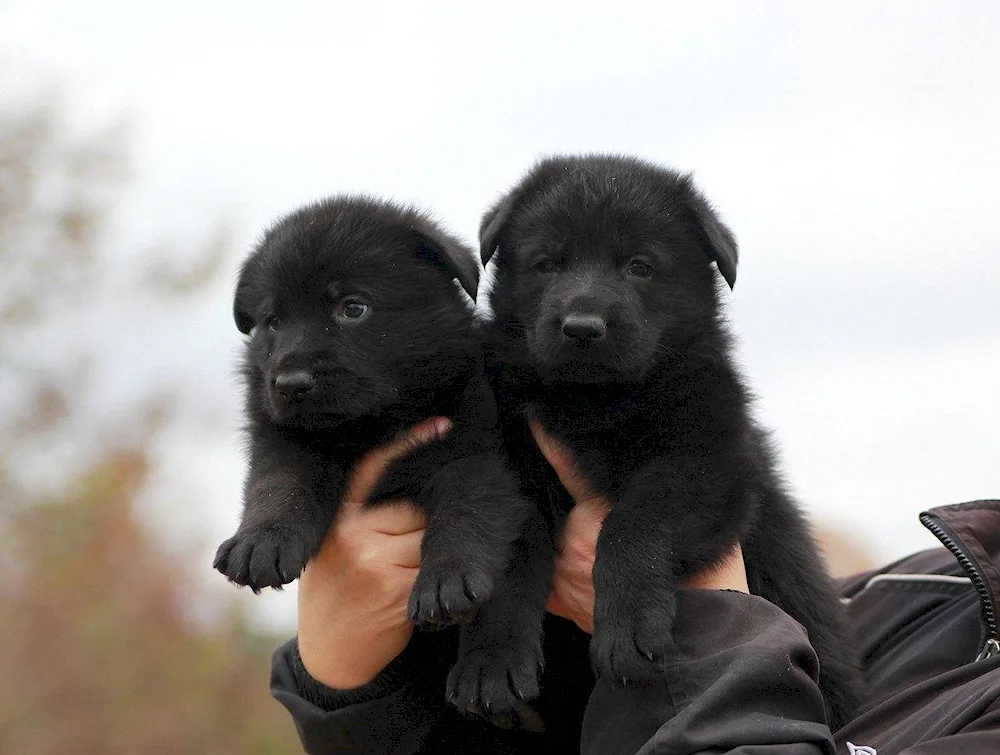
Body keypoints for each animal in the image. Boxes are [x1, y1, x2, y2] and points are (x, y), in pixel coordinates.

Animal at [216, 196, 548, 728]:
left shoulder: (475, 453)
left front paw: (445, 580)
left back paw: (489, 676)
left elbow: (466, 513)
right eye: (273, 321)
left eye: (353, 308)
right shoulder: (285, 438)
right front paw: (258, 543)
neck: (370, 427)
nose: (288, 382)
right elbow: (281, 485)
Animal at [480, 157, 864, 728]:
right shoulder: (509, 461)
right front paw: (491, 662)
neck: (595, 403)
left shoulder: (709, 457)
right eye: (545, 263)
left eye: (640, 266)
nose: (582, 327)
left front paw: (628, 626)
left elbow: (635, 523)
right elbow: (509, 551)